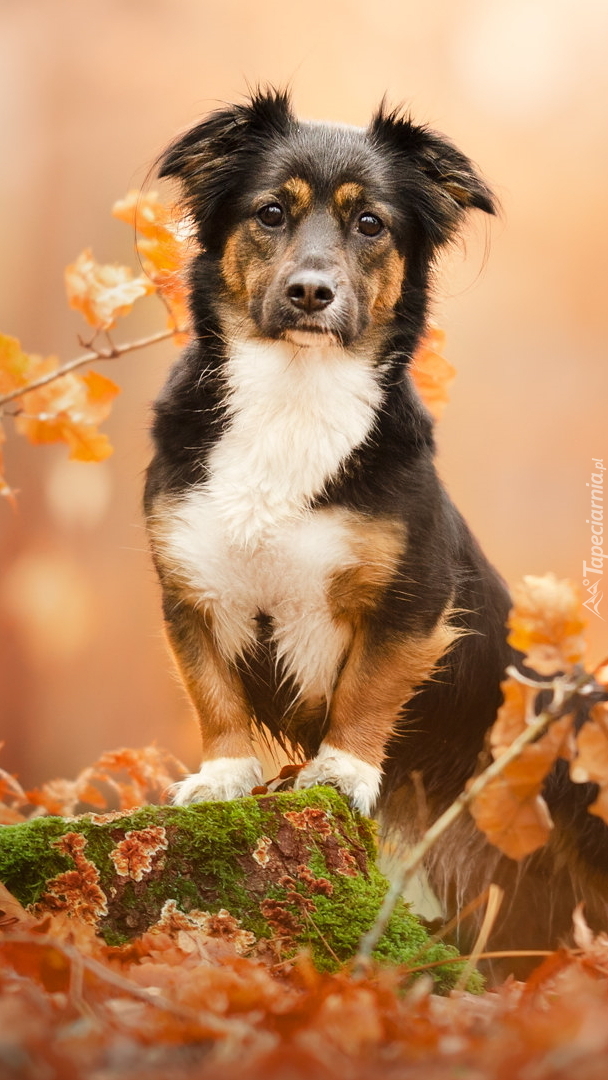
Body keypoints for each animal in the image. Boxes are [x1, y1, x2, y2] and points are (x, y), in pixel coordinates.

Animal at [144, 86, 608, 963]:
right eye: (270, 212)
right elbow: (214, 695)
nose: (311, 292)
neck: (294, 398)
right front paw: (223, 777)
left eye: (371, 224)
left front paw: (342, 771)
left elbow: (366, 690)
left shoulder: (411, 598)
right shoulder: (190, 585)